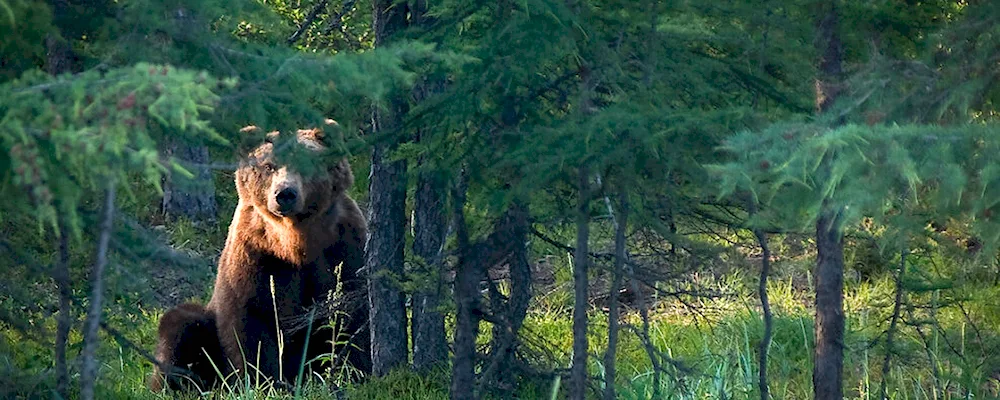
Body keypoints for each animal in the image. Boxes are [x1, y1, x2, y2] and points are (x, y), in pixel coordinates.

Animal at [146, 124, 370, 390]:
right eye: (268, 166)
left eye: (307, 162)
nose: (285, 193)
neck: (294, 242)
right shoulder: (256, 254)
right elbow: (250, 323)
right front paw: (262, 381)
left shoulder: (342, 247)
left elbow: (350, 312)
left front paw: (353, 372)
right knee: (180, 325)